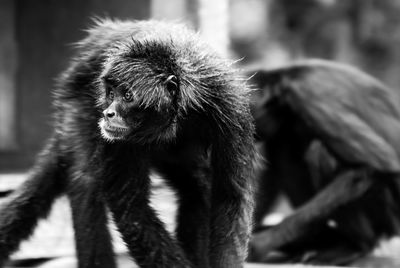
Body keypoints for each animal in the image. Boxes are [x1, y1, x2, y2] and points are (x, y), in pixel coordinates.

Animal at [0, 19, 256, 268]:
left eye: (128, 96)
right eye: (111, 93)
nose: (109, 113)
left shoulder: (231, 106)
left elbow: (230, 197)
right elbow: (132, 209)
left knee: (196, 185)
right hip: (76, 105)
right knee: (86, 180)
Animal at [245, 59, 400, 264]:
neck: (284, 79)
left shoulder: (310, 97)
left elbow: (373, 166)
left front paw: (259, 244)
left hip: (386, 214)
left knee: (319, 152)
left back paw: (353, 246)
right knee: (285, 146)